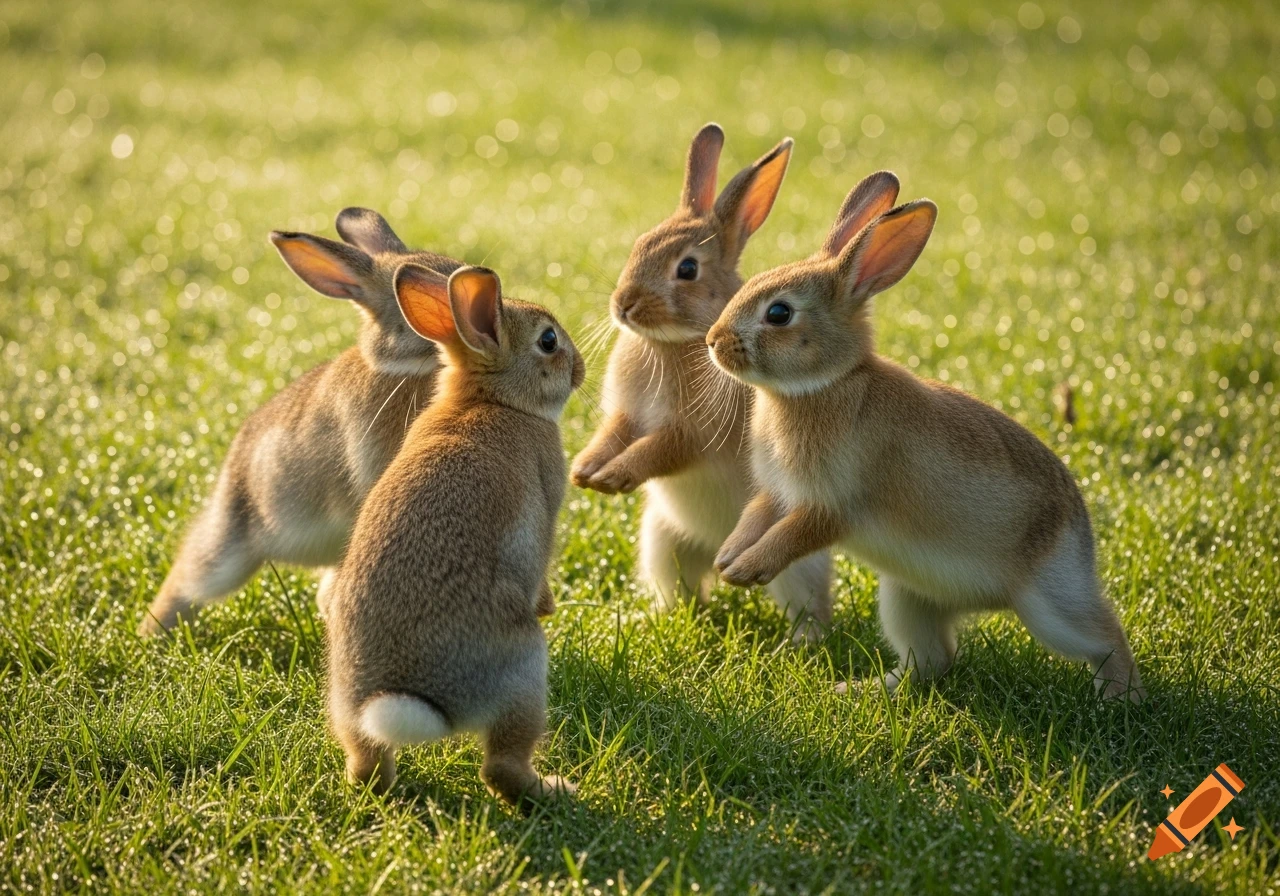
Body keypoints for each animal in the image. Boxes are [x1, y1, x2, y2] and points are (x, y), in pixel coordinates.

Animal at [325, 262, 584, 804]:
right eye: (548, 341)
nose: (581, 369)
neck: (492, 400)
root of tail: (409, 696)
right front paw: (548, 604)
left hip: (341, 700)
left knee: (365, 765)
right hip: (525, 671)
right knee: (501, 766)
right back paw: (555, 790)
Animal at [570, 123, 833, 642]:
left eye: (687, 269)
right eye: (638, 244)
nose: (623, 304)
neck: (672, 342)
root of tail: (717, 549)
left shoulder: (693, 432)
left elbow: (661, 449)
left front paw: (612, 477)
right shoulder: (627, 414)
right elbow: (615, 433)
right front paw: (584, 471)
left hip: (793, 563)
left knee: (806, 606)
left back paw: (801, 647)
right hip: (662, 540)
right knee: (685, 588)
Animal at [706, 171, 1144, 700]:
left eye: (779, 314)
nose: (712, 341)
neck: (828, 383)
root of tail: (1082, 532)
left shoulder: (833, 503)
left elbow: (795, 534)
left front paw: (746, 570)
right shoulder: (779, 494)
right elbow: (756, 516)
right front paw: (727, 559)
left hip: (1049, 604)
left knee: (1104, 636)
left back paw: (1120, 699)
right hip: (908, 597)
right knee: (933, 659)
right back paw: (862, 689)